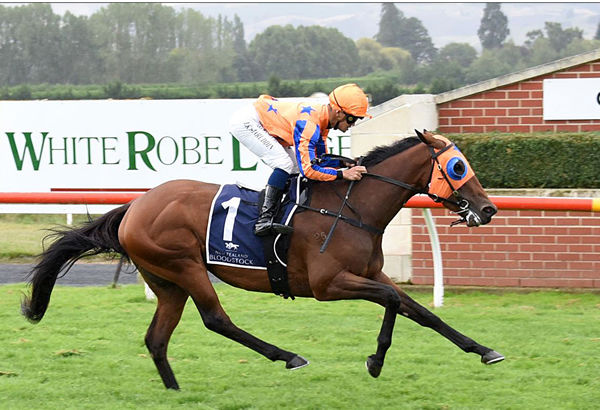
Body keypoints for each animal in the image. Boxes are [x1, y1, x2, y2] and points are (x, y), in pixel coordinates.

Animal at [21, 130, 504, 390]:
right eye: (458, 167)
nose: (488, 209)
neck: (352, 208)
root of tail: (135, 205)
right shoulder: (329, 285)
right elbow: (390, 301)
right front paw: (376, 360)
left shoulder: (370, 272)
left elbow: (418, 310)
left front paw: (484, 350)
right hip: (184, 266)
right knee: (216, 320)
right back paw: (287, 356)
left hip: (165, 282)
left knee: (157, 339)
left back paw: (176, 390)